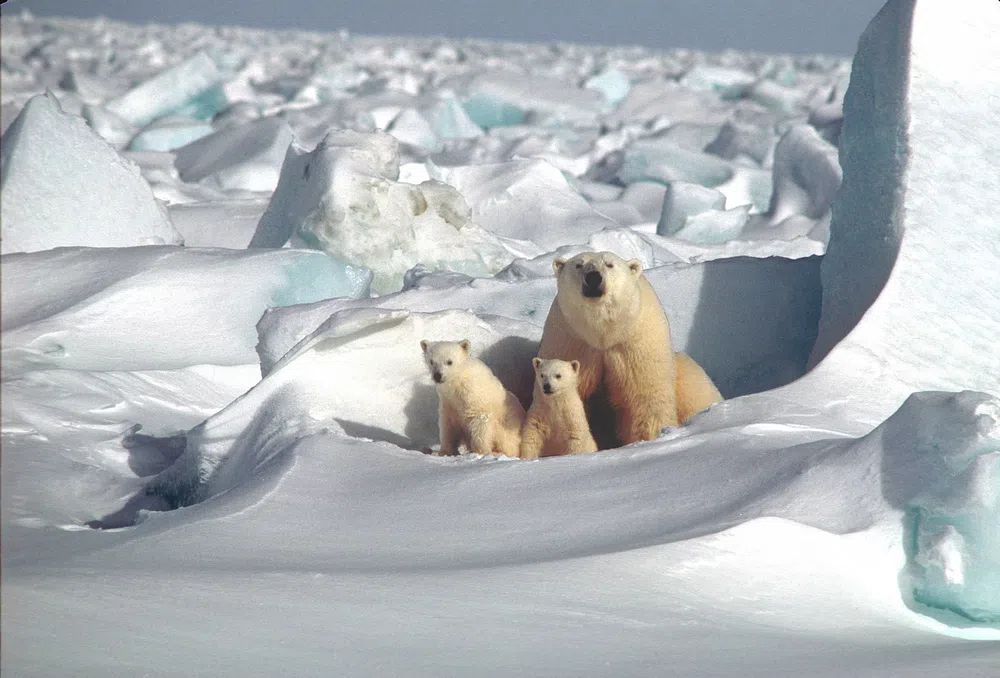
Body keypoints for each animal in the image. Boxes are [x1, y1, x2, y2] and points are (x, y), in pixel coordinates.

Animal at [537, 251, 722, 447]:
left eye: (609, 264)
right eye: (579, 264)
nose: (593, 277)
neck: (603, 334)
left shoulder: (635, 343)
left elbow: (644, 397)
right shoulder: (571, 342)